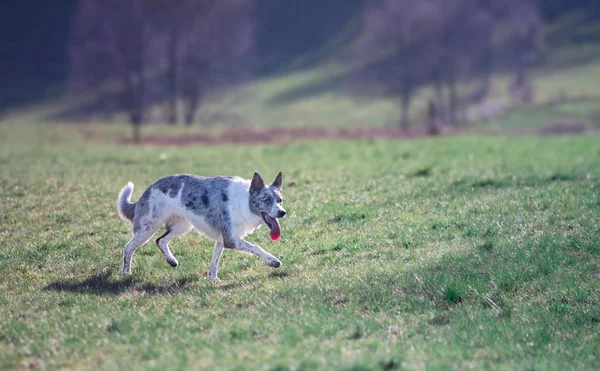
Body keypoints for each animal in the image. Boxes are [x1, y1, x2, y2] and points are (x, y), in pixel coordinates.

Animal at [118, 173, 288, 280]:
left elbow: (214, 261)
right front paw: (272, 261)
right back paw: (126, 273)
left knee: (161, 240)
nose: (282, 212)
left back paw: (171, 261)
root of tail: (148, 190)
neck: (245, 201)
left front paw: (212, 279)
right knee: (128, 247)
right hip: (148, 228)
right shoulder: (231, 239)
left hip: (182, 226)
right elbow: (256, 247)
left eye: (280, 200)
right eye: (266, 200)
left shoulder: (222, 239)